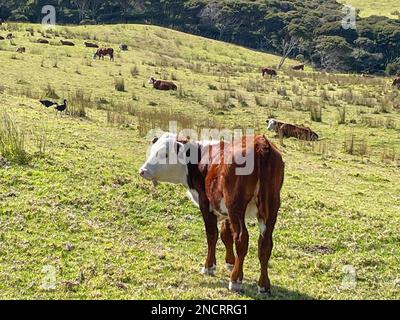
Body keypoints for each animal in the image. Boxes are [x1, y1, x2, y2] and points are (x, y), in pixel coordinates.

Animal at [139, 132, 286, 292]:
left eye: (165, 154)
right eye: (152, 150)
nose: (142, 171)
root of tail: (260, 143)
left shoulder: (206, 203)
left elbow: (212, 235)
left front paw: (209, 266)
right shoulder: (225, 210)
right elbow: (225, 234)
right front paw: (230, 262)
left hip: (236, 206)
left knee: (242, 239)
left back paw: (235, 280)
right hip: (271, 207)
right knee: (265, 243)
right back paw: (263, 284)